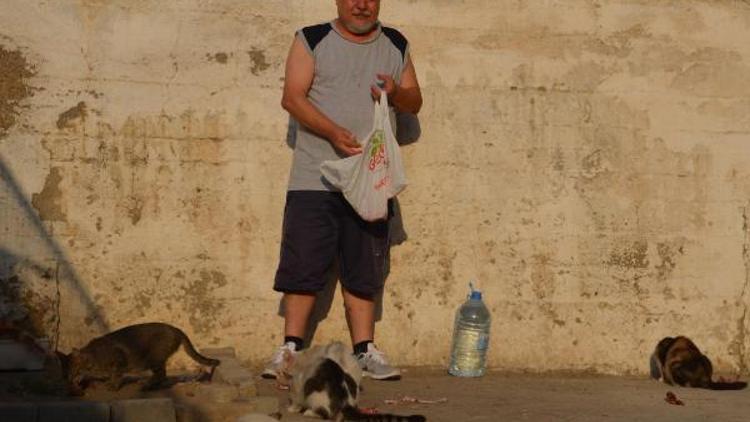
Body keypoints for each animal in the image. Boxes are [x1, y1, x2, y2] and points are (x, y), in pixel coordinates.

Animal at [57, 324, 220, 396]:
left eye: (74, 371)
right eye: (64, 375)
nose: (69, 380)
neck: (94, 357)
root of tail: (176, 329)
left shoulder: (119, 359)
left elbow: (116, 374)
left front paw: (112, 385)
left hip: (154, 358)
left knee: (162, 375)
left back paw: (146, 386)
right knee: (162, 376)